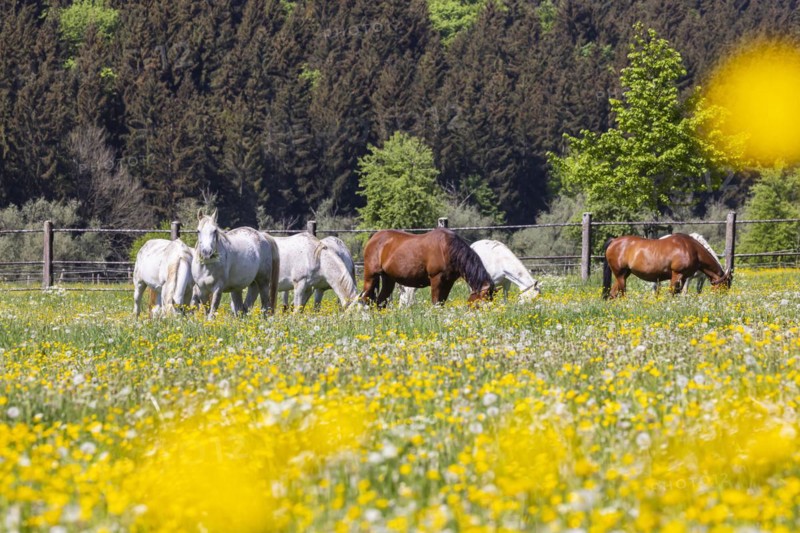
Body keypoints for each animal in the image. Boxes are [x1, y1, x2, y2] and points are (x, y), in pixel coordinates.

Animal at [361, 228, 495, 307]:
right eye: (479, 304)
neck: (447, 249)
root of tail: (374, 238)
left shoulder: (448, 282)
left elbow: (441, 303)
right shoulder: (436, 279)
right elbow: (435, 302)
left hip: (388, 279)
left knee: (379, 302)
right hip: (370, 276)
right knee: (364, 298)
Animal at [602, 233, 732, 299]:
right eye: (724, 286)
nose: (721, 300)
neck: (691, 249)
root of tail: (614, 241)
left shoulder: (684, 278)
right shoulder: (676, 275)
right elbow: (672, 293)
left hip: (624, 275)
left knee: (613, 294)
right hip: (620, 275)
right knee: (622, 293)